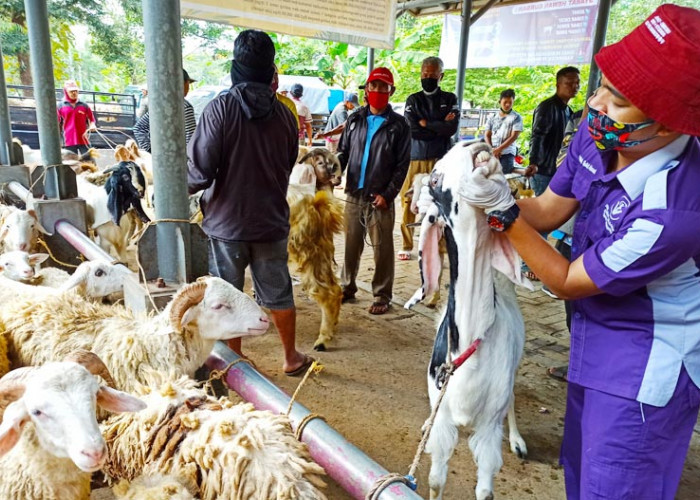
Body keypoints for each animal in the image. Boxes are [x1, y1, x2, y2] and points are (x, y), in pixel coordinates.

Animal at [404, 141, 532, 500]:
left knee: (513, 399)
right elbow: (435, 480)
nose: (468, 141)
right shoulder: (444, 417)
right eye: (435, 176)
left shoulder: (489, 427)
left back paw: (517, 440)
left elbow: (485, 490)